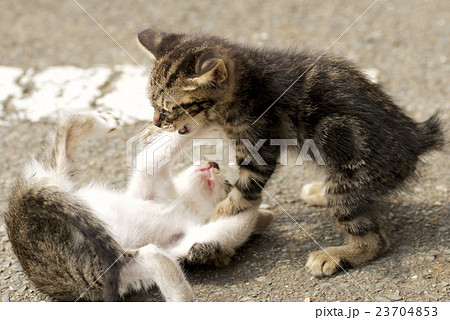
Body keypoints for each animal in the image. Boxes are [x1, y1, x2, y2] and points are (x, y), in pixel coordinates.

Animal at [136, 28, 442, 276]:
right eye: (151, 104)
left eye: (169, 108)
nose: (156, 122)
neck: (248, 84)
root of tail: (415, 139)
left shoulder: (259, 145)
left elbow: (246, 186)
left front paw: (219, 214)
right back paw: (319, 192)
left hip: (350, 178)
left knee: (375, 240)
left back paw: (334, 255)